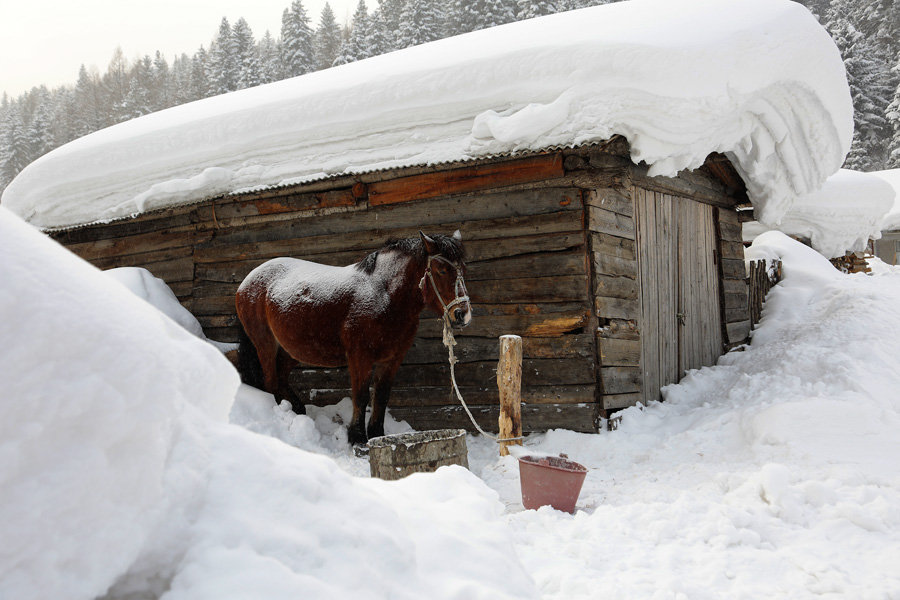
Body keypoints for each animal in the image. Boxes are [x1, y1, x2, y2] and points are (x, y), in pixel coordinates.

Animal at [234, 230, 472, 446]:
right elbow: (361, 395)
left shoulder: (392, 359)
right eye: (442, 270)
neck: (384, 296)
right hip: (265, 345)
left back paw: (297, 410)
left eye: (463, 270)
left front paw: (376, 434)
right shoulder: (360, 357)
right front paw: (357, 438)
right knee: (271, 380)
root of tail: (247, 281)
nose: (463, 314)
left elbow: (381, 396)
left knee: (281, 378)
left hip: (292, 349)